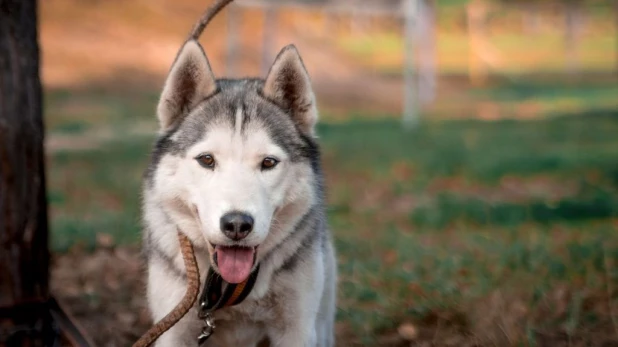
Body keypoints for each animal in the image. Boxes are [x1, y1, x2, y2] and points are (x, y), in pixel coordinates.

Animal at [140, 1, 336, 346]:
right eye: (206, 160)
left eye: (268, 163)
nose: (236, 224)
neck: (227, 287)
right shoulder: (173, 330)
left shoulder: (298, 328)